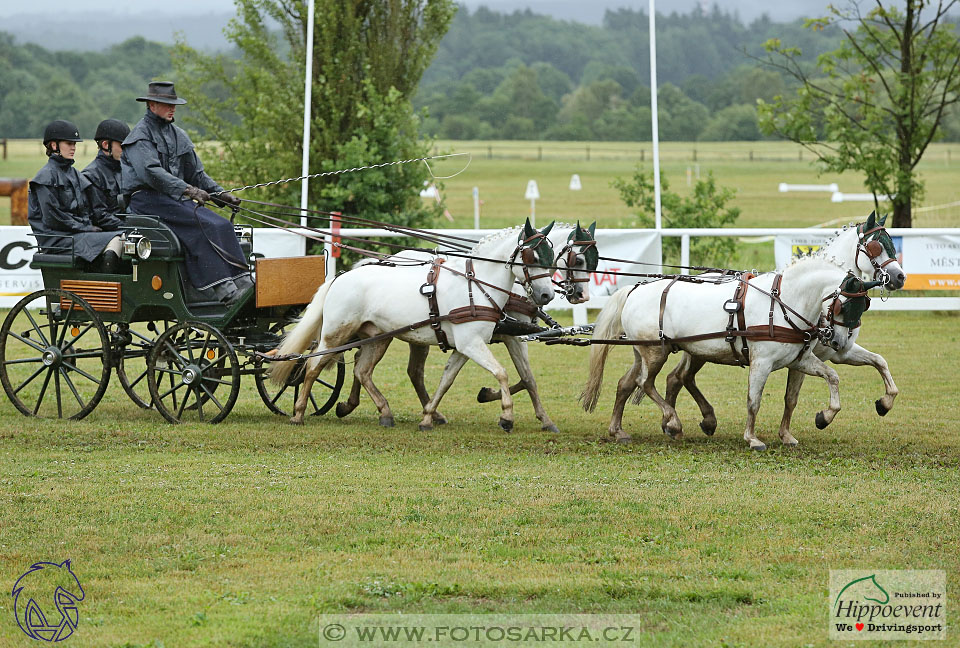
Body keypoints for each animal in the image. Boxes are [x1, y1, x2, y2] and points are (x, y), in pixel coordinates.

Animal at [268, 220, 556, 432]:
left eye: (552, 257)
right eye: (531, 256)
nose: (547, 295)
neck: (476, 285)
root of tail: (341, 276)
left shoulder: (467, 346)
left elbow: (448, 379)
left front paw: (428, 417)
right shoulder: (472, 343)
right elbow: (502, 373)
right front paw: (507, 416)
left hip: (378, 337)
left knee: (362, 370)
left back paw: (384, 413)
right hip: (335, 335)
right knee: (312, 367)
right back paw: (298, 413)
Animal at [334, 220, 596, 432]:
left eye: (594, 261)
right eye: (578, 259)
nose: (580, 295)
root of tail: (386, 260)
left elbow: (527, 378)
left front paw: (541, 418)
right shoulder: (509, 336)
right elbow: (521, 376)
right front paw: (498, 403)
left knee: (395, 368)